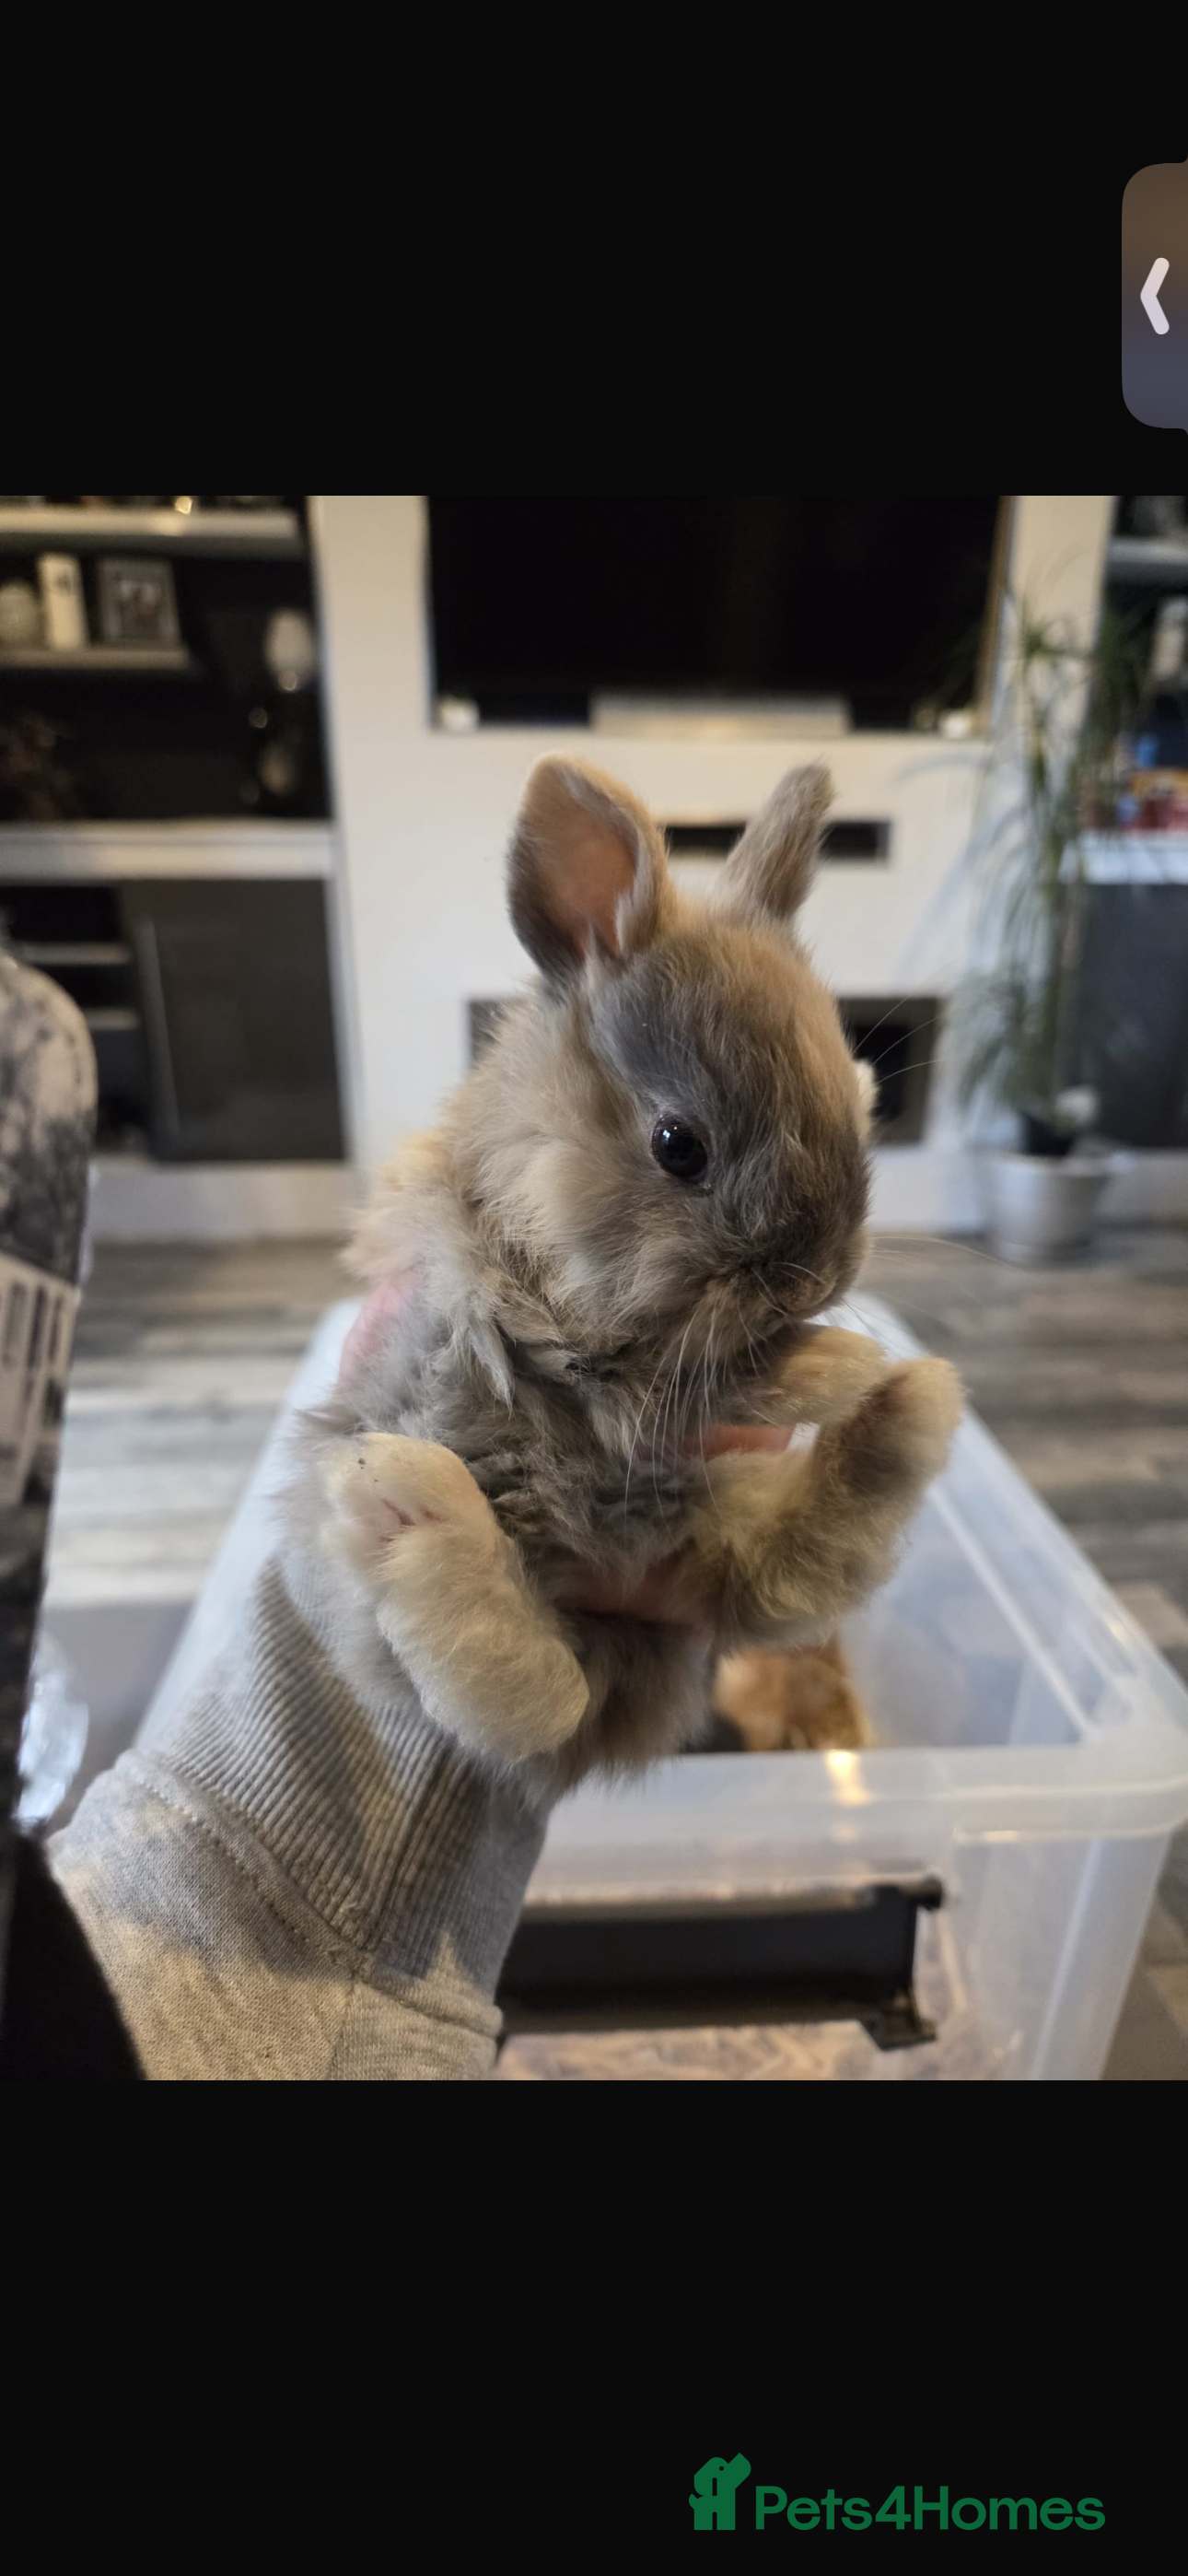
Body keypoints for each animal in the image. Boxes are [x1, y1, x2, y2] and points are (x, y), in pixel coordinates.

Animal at [285, 754, 962, 1796]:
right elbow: (686, 1376)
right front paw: (828, 1361)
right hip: (381, 1581)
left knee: (781, 1575)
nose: (812, 1284)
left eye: (864, 1103)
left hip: (700, 1544)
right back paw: (414, 1509)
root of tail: (616, 1720)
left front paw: (835, 1362)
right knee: (531, 1700)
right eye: (677, 1145)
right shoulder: (536, 1342)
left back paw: (906, 1402)